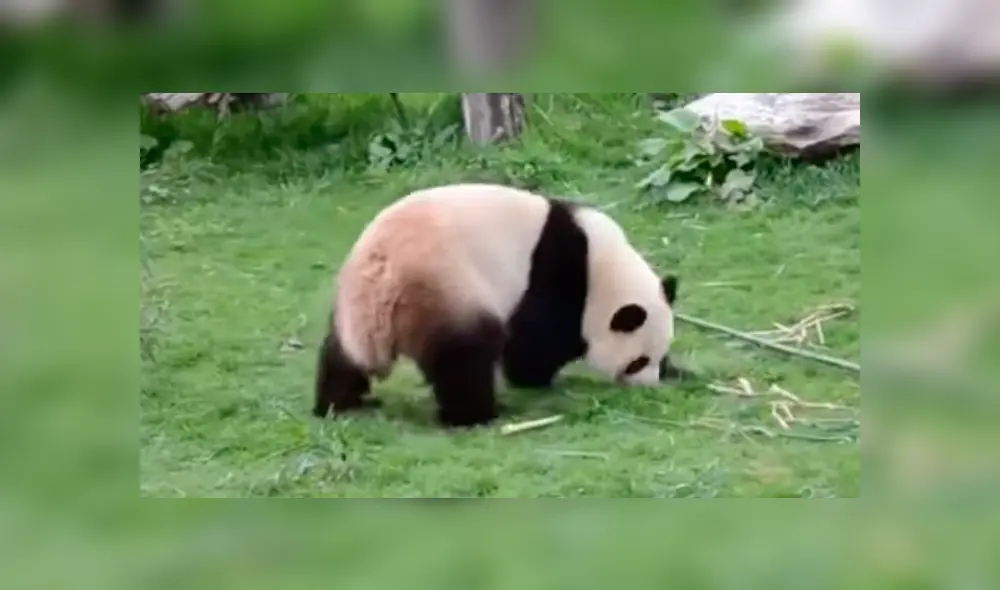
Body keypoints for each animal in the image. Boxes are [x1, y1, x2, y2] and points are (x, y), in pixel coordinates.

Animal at [313, 183, 685, 428]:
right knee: (464, 355)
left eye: (657, 357)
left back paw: (342, 403)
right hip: (443, 288)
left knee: (342, 355)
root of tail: (381, 270)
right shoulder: (555, 275)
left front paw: (679, 371)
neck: (600, 268)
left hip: (352, 304)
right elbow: (534, 345)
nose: (648, 385)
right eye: (637, 362)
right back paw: (479, 415)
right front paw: (536, 376)